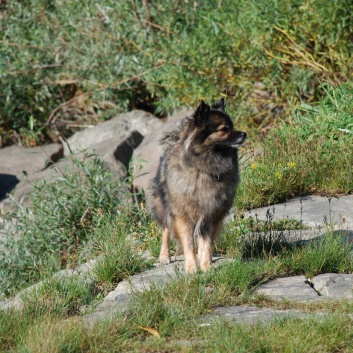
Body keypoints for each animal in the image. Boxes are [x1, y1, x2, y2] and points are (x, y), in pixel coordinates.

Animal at [147, 99, 246, 272]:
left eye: (233, 126)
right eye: (224, 129)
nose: (244, 134)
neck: (205, 169)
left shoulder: (211, 215)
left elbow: (206, 243)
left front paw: (206, 266)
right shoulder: (183, 216)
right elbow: (188, 243)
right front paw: (192, 268)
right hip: (163, 207)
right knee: (166, 230)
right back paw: (164, 256)